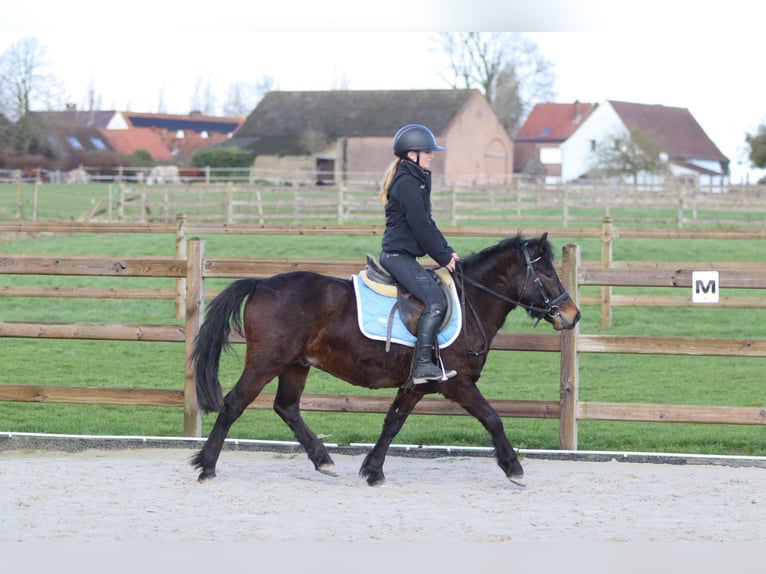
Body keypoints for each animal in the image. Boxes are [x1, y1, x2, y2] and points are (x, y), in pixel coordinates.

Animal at [190, 232, 580, 486]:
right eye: (546, 273)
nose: (572, 315)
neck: (471, 301)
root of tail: (261, 283)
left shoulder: (417, 385)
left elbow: (393, 422)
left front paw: (373, 470)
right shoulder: (457, 383)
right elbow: (492, 418)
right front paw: (514, 468)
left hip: (294, 365)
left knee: (286, 408)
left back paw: (323, 460)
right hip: (266, 361)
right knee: (234, 403)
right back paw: (207, 466)